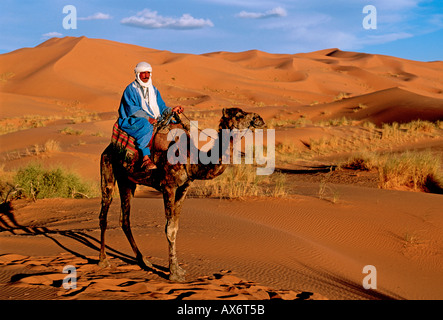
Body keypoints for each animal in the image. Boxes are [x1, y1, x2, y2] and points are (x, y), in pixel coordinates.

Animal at [98, 107, 264, 280]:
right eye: (239, 115)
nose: (259, 118)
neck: (192, 158)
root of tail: (108, 148)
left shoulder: (184, 187)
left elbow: (175, 227)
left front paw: (178, 269)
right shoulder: (168, 186)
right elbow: (169, 229)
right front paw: (173, 274)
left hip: (127, 181)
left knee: (124, 219)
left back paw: (144, 261)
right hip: (109, 169)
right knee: (105, 214)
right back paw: (103, 260)